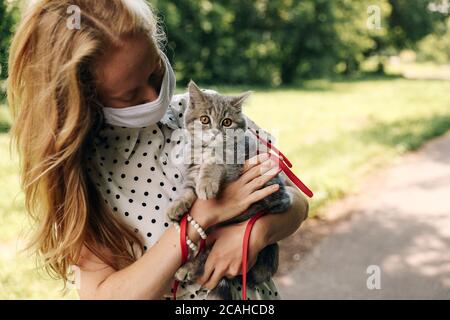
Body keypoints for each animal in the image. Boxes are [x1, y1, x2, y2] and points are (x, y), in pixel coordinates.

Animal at [166, 80, 292, 300]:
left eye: (227, 122)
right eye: (205, 119)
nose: (216, 132)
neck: (205, 149)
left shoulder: (234, 164)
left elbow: (215, 163)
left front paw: (207, 182)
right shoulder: (191, 172)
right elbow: (188, 190)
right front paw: (178, 205)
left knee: (208, 251)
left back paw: (188, 268)